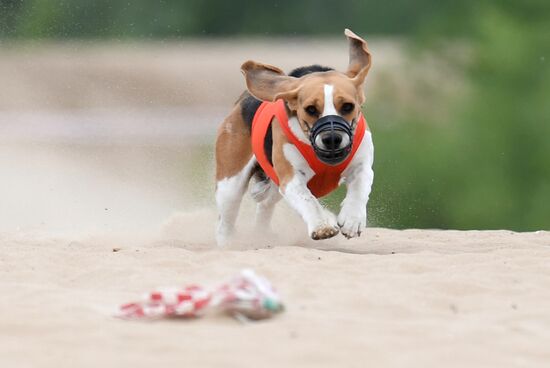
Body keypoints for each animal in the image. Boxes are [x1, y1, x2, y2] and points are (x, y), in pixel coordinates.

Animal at [216, 28, 376, 246]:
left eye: (347, 106)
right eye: (311, 109)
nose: (332, 138)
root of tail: (242, 99)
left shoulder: (362, 165)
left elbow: (360, 187)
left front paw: (352, 220)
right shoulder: (291, 178)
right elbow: (308, 200)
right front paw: (322, 225)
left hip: (271, 188)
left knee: (265, 206)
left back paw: (263, 234)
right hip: (230, 183)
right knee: (226, 221)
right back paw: (229, 243)